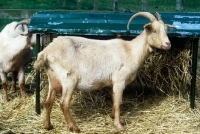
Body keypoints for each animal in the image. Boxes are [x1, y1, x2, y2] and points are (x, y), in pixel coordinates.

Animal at [34, 11, 173, 133]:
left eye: (166, 30)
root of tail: (46, 52)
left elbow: (114, 100)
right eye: (154, 30)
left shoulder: (113, 83)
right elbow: (118, 102)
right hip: (68, 79)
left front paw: (112, 116)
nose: (168, 44)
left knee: (48, 102)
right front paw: (118, 125)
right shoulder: (119, 80)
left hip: (53, 78)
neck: (131, 50)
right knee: (64, 104)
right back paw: (74, 128)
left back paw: (48, 126)